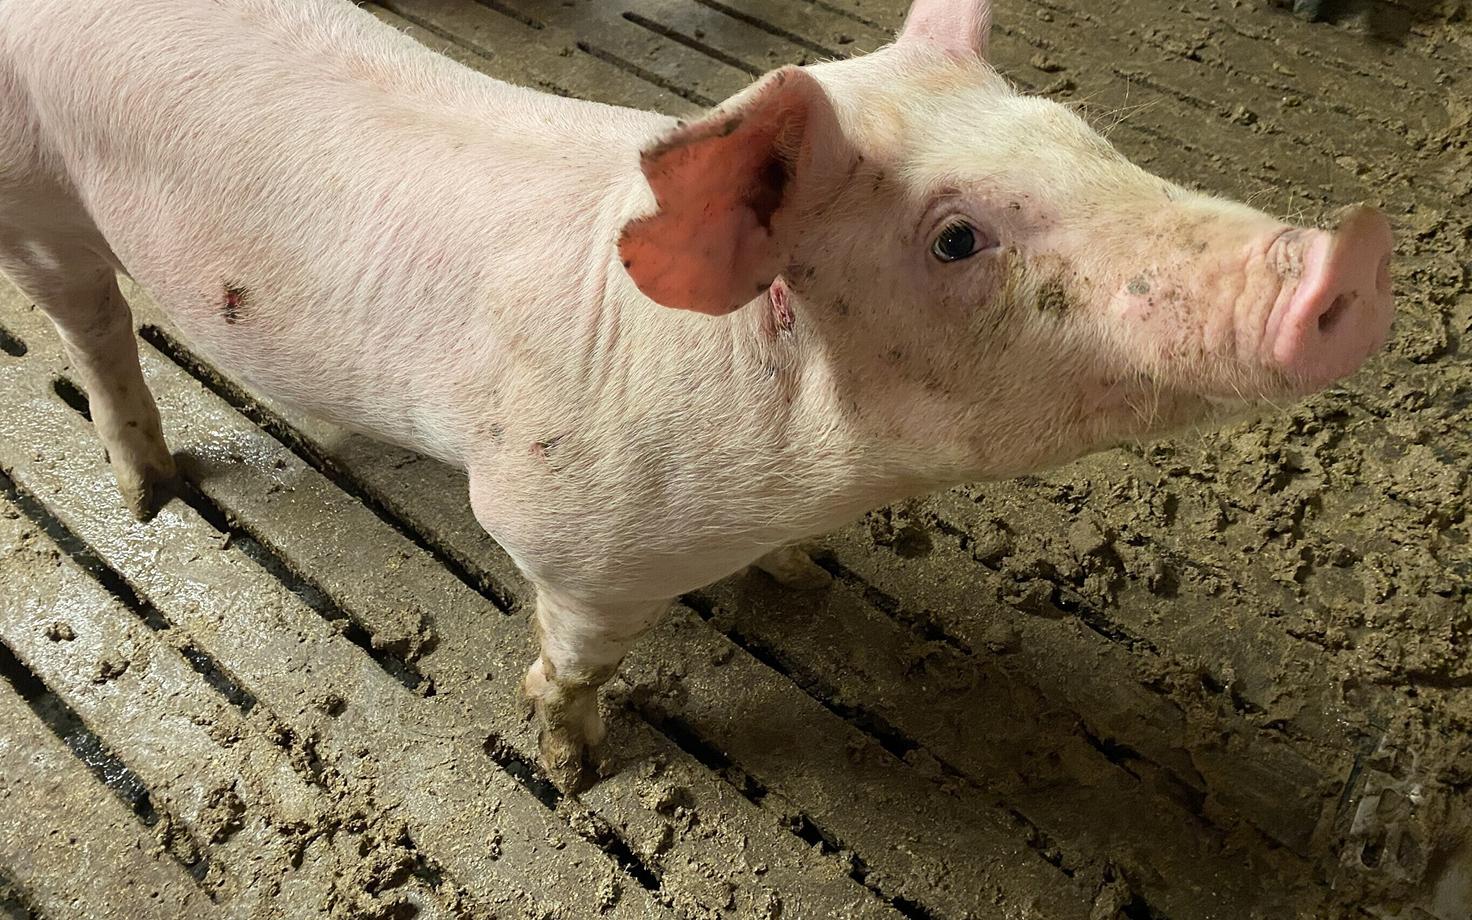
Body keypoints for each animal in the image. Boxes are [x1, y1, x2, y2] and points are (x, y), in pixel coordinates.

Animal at [0, 0, 1394, 791]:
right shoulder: (567, 531)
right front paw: (574, 767)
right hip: (35, 192)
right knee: (93, 326)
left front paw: (790, 583)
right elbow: (576, 660)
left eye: (1081, 134)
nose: (1353, 251)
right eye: (954, 239)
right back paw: (149, 492)